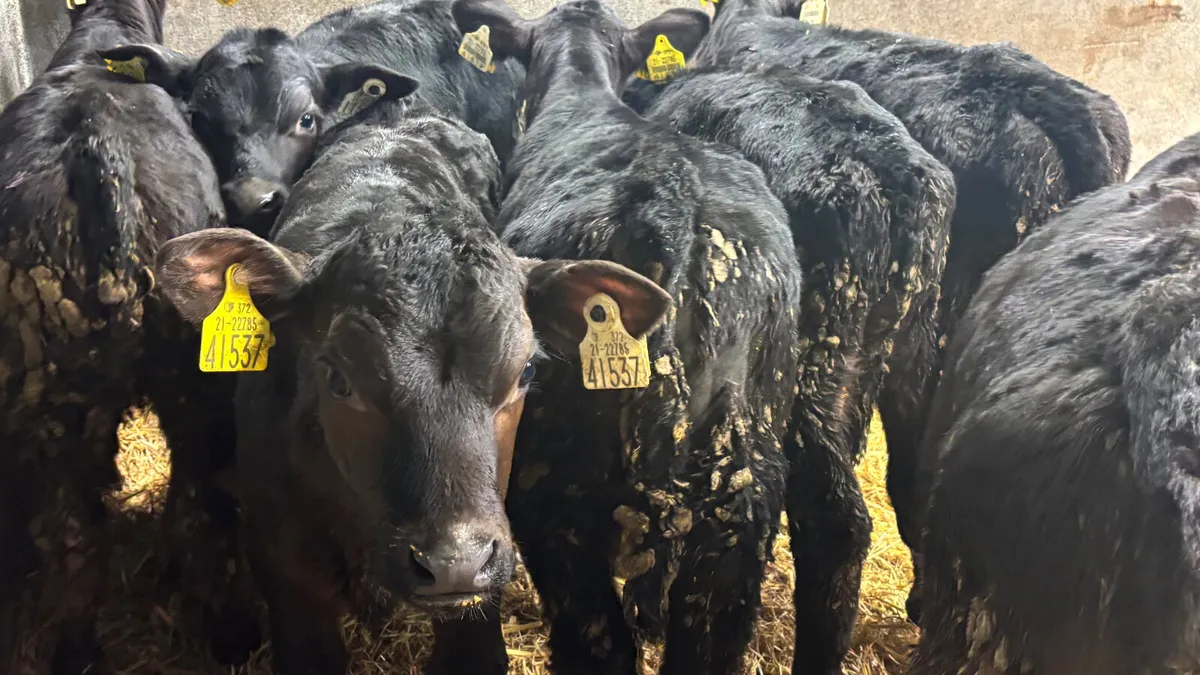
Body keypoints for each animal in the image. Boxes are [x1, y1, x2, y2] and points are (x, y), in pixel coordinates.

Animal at [0, 0, 258, 672]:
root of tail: (101, 152)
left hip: (64, 402)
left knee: (75, 537)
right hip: (188, 384)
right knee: (197, 509)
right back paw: (229, 637)